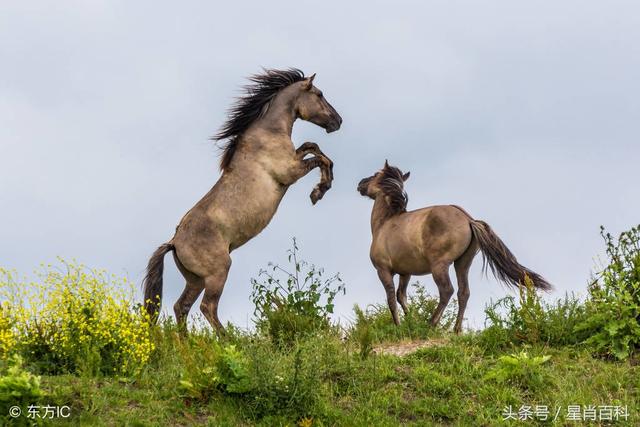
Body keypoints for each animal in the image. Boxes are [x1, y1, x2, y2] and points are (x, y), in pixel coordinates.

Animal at [143, 69, 342, 332]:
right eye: (319, 94)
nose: (338, 121)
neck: (266, 134)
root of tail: (174, 242)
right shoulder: (290, 172)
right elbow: (319, 158)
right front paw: (319, 191)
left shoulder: (294, 159)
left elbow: (312, 147)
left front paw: (322, 186)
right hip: (218, 272)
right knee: (207, 307)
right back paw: (228, 338)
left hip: (196, 280)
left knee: (181, 307)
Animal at [356, 161, 552, 334]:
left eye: (375, 174)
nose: (360, 184)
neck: (385, 223)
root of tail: (468, 220)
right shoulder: (406, 273)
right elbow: (401, 296)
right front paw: (411, 322)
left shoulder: (383, 270)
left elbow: (391, 299)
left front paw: (399, 327)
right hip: (462, 263)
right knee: (463, 292)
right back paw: (456, 330)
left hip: (439, 266)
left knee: (447, 291)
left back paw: (431, 324)